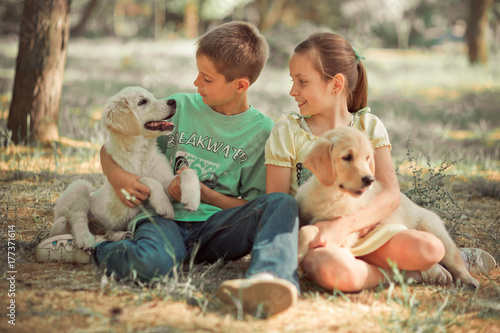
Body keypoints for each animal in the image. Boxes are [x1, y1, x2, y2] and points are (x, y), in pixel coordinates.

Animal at [49, 86, 200, 249]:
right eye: (142, 102)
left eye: (152, 97)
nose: (173, 102)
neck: (140, 154)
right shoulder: (120, 201)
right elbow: (145, 179)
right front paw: (164, 205)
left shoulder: (167, 182)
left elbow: (188, 172)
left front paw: (192, 198)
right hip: (79, 187)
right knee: (77, 217)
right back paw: (85, 239)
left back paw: (119, 235)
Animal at [294, 126, 478, 288]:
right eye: (347, 157)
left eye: (367, 158)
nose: (369, 180)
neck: (330, 194)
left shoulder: (343, 232)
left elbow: (310, 229)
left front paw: (297, 251)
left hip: (434, 229)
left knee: (452, 256)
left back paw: (467, 279)